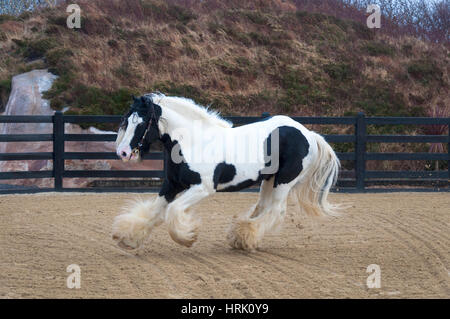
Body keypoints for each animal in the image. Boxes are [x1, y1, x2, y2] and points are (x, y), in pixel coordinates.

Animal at [112, 93, 342, 252]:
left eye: (141, 122)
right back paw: (241, 237)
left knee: (276, 211)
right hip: (268, 180)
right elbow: (153, 212)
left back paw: (245, 237)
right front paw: (127, 238)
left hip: (284, 182)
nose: (122, 152)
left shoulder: (202, 188)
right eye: (127, 119)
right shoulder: (171, 185)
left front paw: (188, 236)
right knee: (263, 208)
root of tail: (308, 134)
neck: (194, 142)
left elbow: (172, 210)